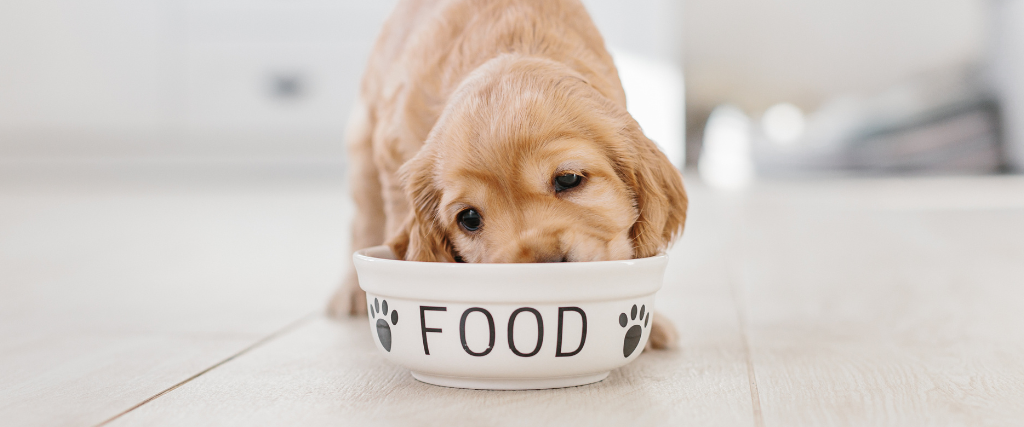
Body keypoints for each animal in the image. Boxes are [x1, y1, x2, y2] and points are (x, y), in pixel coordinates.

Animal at [329, 0, 688, 350]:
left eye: (569, 179)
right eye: (469, 218)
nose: (545, 264)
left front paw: (651, 327)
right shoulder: (393, 159)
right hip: (362, 147)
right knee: (364, 221)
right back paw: (350, 293)